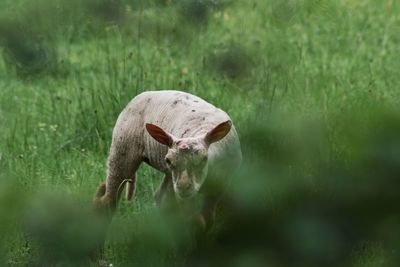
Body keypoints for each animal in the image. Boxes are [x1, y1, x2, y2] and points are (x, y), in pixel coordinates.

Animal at [94, 91, 242, 229]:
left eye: (204, 159)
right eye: (168, 160)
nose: (183, 187)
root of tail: (143, 94)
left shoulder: (219, 188)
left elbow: (207, 220)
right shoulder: (183, 196)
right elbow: (195, 222)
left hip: (169, 176)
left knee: (161, 198)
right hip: (123, 148)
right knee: (107, 202)